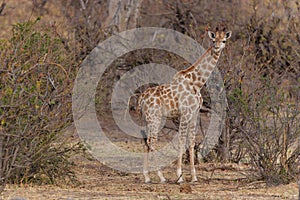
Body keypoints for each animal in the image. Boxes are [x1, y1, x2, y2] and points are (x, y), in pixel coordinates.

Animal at [137, 26, 231, 183]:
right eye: (213, 40)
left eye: (223, 40)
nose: (217, 47)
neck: (197, 83)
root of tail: (141, 99)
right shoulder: (185, 113)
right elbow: (182, 141)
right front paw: (179, 176)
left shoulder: (195, 114)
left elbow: (191, 142)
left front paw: (194, 177)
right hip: (154, 118)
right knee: (152, 142)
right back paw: (161, 176)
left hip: (148, 119)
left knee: (146, 142)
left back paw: (147, 177)